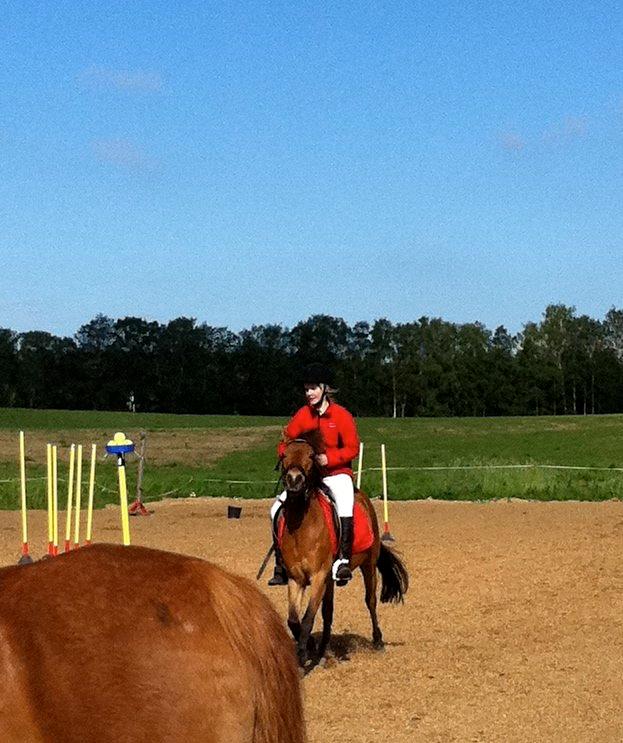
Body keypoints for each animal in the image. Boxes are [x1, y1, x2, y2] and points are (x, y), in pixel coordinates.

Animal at [277, 431, 409, 667]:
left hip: (368, 565)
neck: (302, 525)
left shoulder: (318, 576)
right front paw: (310, 646)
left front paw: (302, 654)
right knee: (328, 612)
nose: (294, 480)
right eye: (284, 454)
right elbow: (293, 619)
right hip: (330, 579)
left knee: (370, 601)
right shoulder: (296, 578)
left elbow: (308, 617)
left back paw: (378, 640)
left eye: (311, 456)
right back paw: (322, 648)